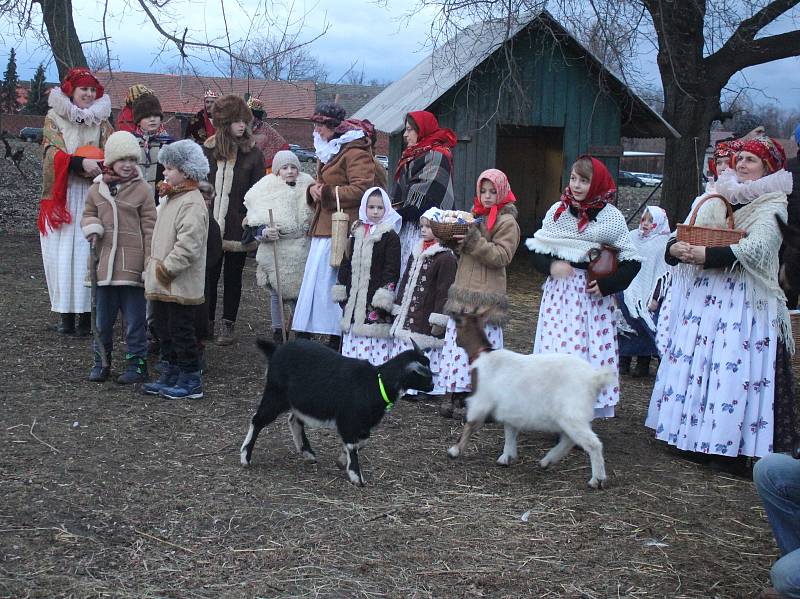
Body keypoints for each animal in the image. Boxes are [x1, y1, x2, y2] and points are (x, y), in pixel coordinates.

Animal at [241, 338, 434, 488]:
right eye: (425, 375)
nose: (432, 386)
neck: (376, 383)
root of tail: (276, 350)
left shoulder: (362, 425)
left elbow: (361, 443)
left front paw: (342, 461)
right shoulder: (348, 419)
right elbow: (352, 445)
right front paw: (356, 477)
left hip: (300, 401)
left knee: (294, 420)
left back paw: (307, 453)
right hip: (275, 394)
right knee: (257, 420)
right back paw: (245, 457)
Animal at [446, 312, 616, 490]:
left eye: (457, 324)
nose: (455, 340)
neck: (483, 355)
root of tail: (594, 378)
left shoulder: (481, 401)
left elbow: (470, 425)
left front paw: (455, 450)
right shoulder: (510, 408)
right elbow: (510, 431)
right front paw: (507, 457)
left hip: (572, 414)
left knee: (592, 444)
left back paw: (597, 479)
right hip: (572, 416)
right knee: (569, 440)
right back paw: (547, 461)